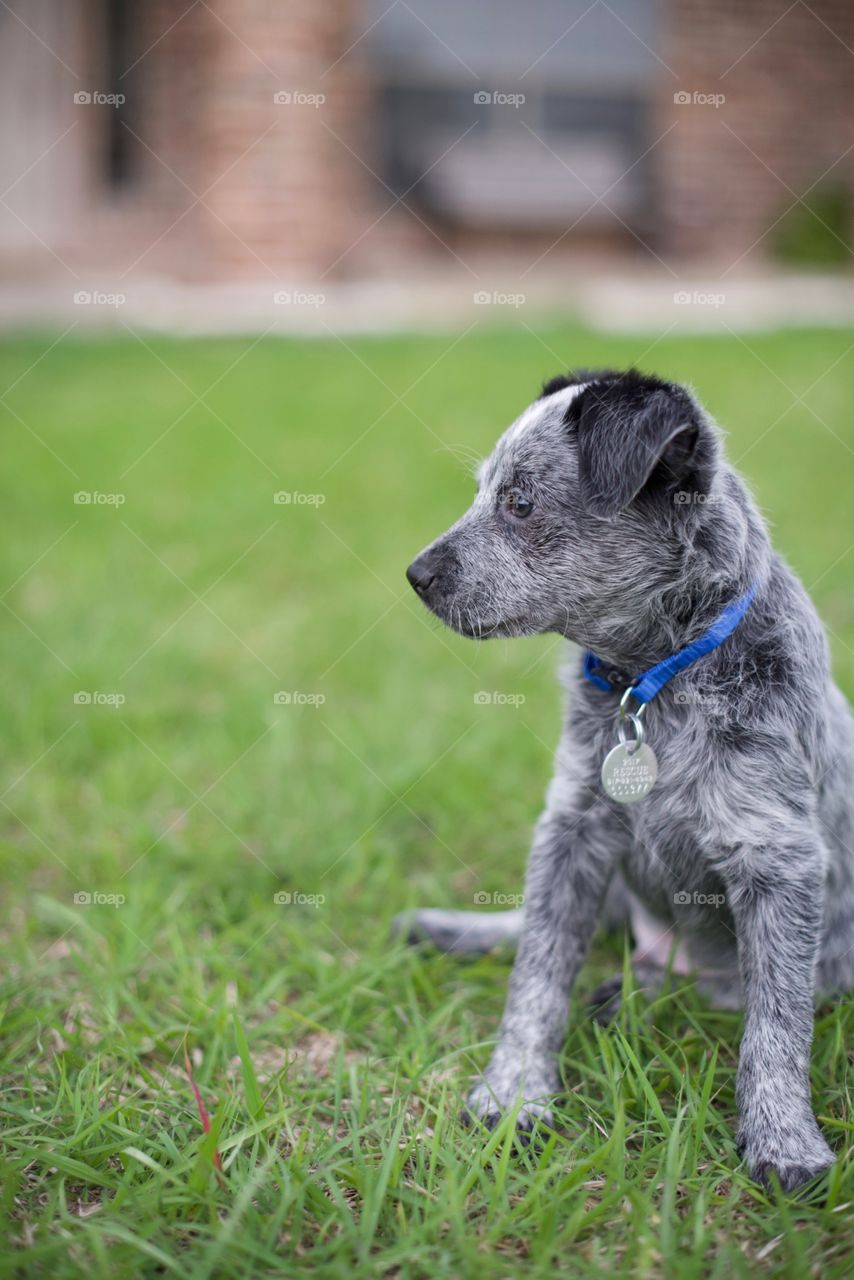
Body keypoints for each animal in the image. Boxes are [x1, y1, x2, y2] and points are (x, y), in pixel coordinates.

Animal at [402, 368, 854, 1187]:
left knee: (716, 990)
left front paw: (782, 1137)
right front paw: (512, 1094)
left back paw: (637, 994)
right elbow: (537, 976)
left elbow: (775, 1023)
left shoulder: (779, 859)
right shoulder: (572, 830)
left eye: (519, 502)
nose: (416, 575)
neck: (651, 687)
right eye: (482, 490)